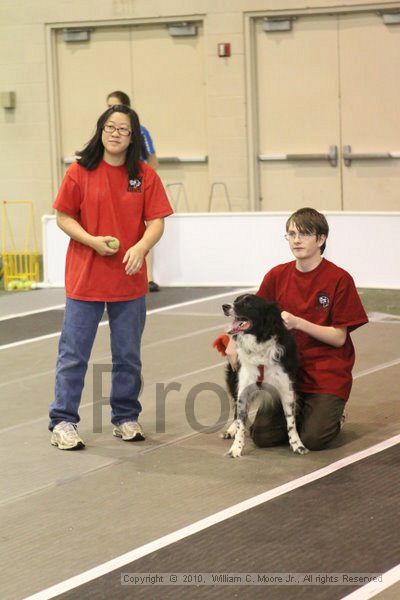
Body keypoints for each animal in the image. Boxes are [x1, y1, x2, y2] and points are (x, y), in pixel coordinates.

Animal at [220, 292, 308, 458]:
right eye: (235, 300)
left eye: (248, 304)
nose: (225, 306)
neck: (258, 344)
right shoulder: (243, 388)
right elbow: (241, 421)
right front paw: (236, 448)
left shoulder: (286, 388)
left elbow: (290, 421)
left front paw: (297, 445)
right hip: (234, 378)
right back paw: (231, 429)